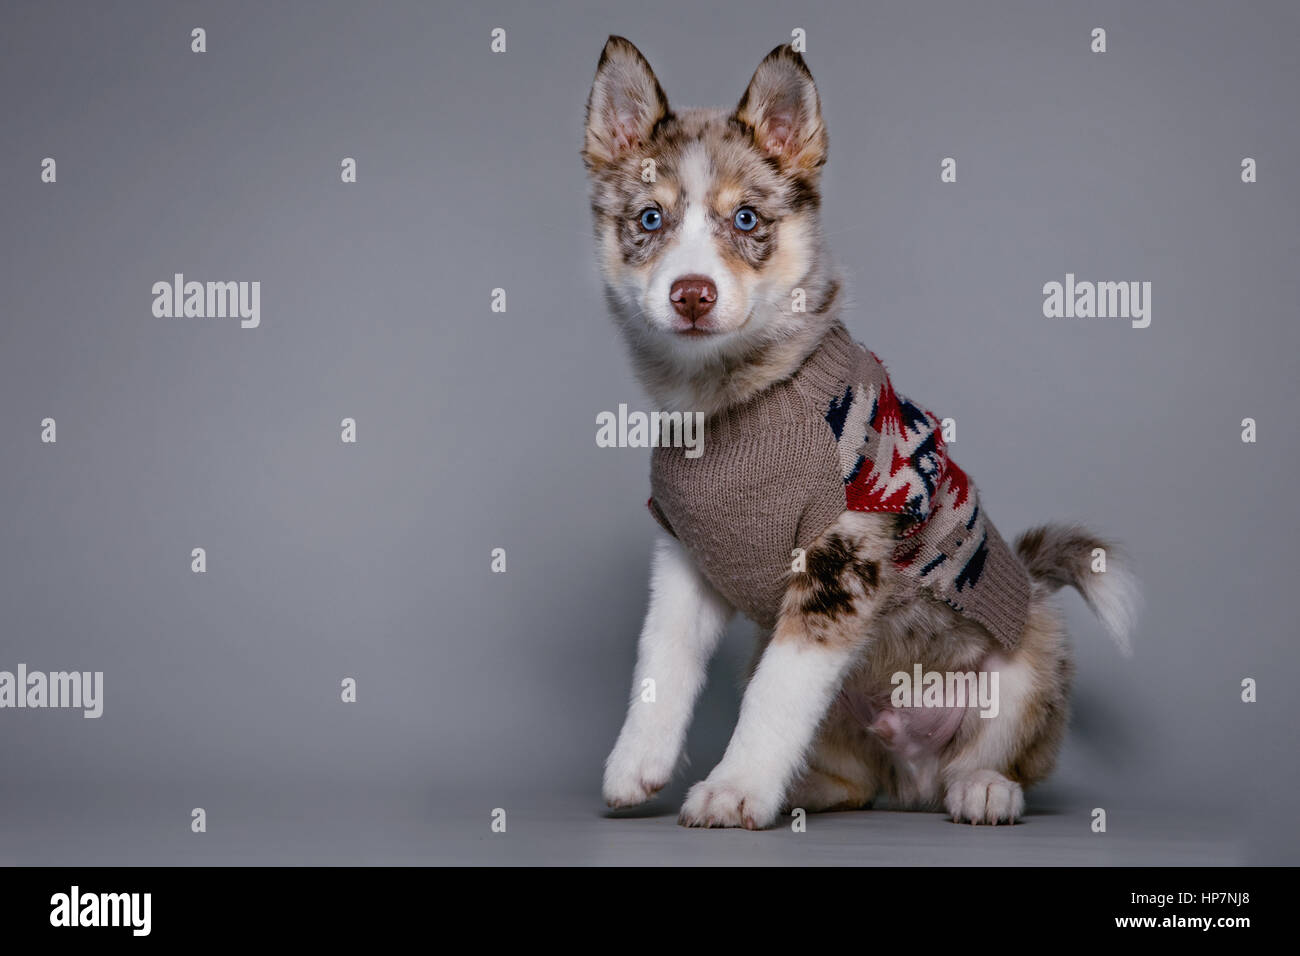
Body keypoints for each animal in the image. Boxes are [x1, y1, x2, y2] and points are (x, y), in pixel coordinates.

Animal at [582, 37, 1138, 832]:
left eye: (746, 219)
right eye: (651, 219)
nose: (691, 295)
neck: (733, 400)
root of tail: (911, 776)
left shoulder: (840, 558)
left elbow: (775, 696)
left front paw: (734, 788)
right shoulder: (686, 555)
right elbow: (661, 664)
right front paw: (638, 764)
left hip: (1031, 660)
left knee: (1003, 758)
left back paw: (983, 789)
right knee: (853, 780)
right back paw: (808, 791)